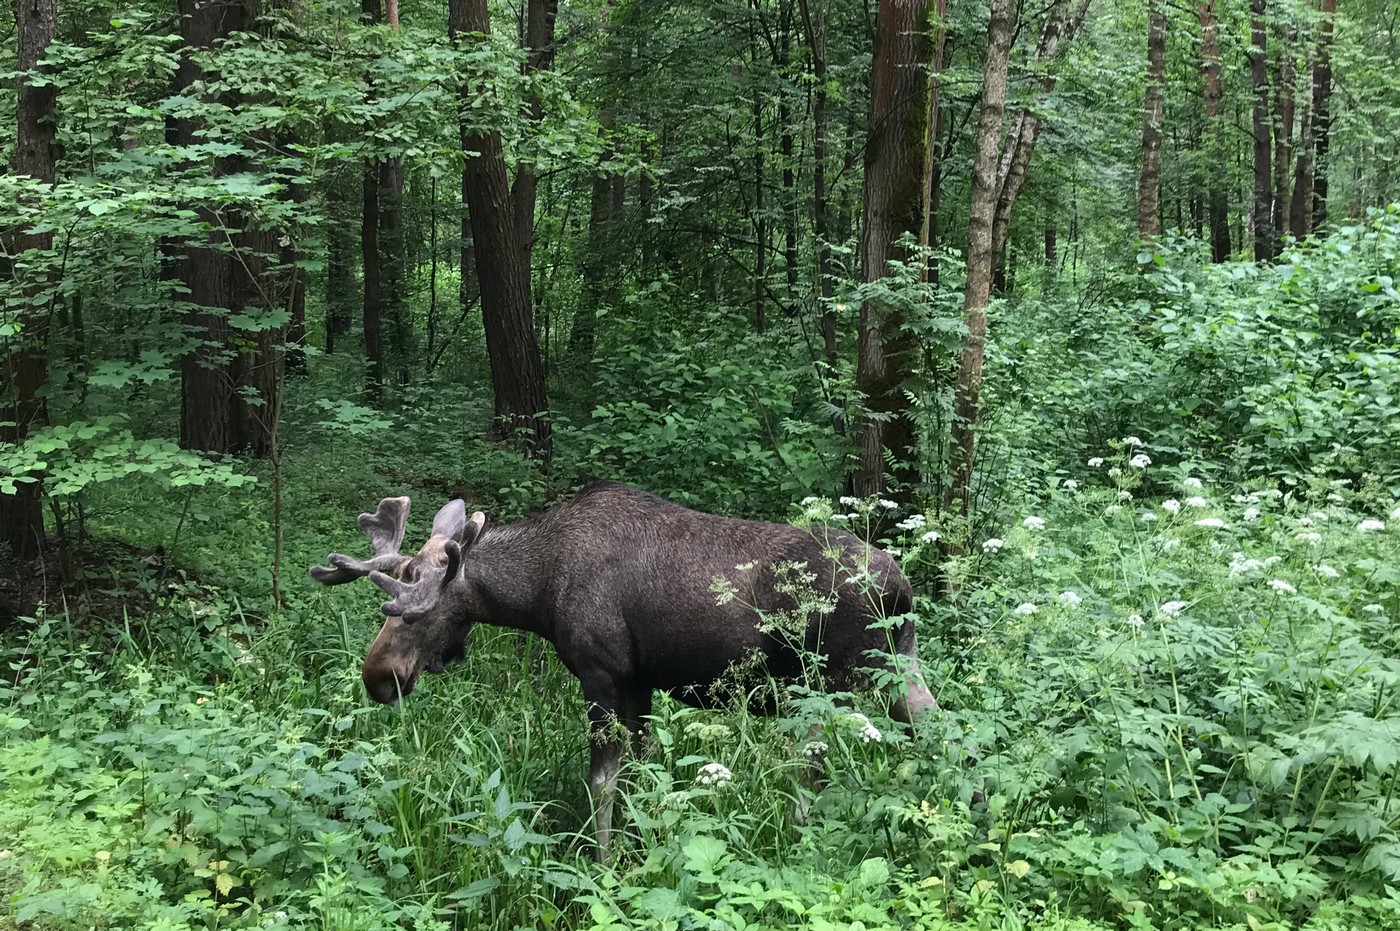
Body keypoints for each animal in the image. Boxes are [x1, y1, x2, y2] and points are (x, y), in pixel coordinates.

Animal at [312, 481, 935, 851]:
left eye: (414, 609)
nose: (378, 675)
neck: (537, 593)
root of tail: (902, 590)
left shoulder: (603, 674)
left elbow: (601, 783)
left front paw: (604, 862)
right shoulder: (641, 683)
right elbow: (640, 774)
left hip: (827, 685)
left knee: (812, 774)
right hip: (897, 667)